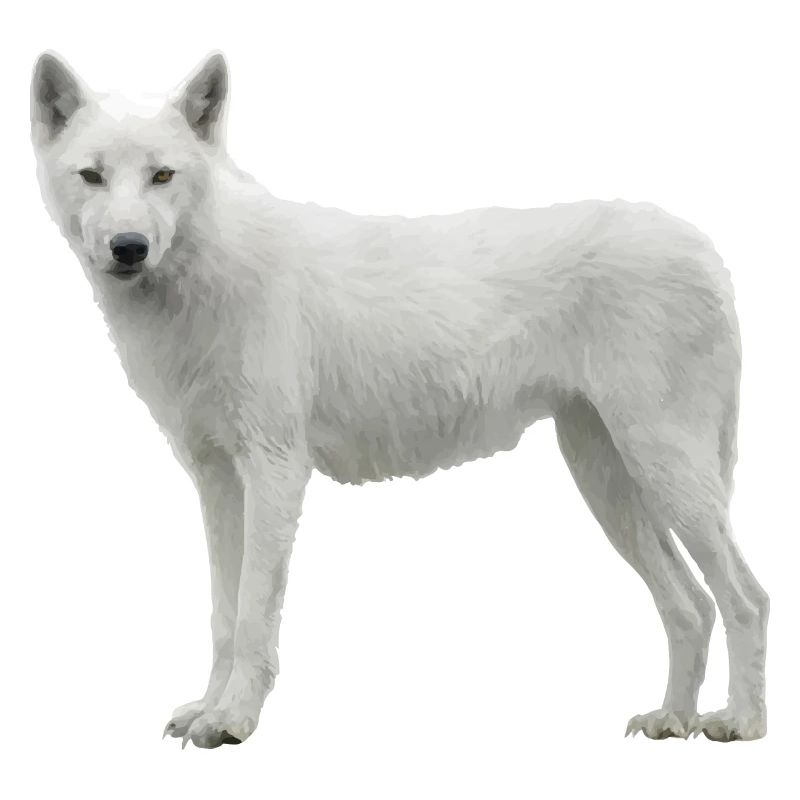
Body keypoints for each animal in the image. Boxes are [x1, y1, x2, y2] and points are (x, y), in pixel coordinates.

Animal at [30, 51, 768, 748]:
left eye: (162, 176)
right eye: (92, 176)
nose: (129, 247)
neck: (205, 277)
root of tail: (705, 248)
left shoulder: (274, 471)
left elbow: (252, 615)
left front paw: (234, 721)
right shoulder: (215, 480)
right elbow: (222, 614)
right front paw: (207, 711)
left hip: (664, 471)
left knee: (746, 598)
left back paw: (740, 723)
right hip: (609, 482)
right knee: (690, 606)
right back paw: (672, 719)